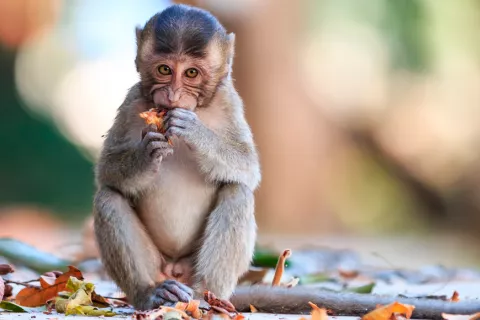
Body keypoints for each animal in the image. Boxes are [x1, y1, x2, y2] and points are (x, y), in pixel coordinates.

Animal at [92, 3, 260, 312]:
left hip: (193, 266)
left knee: (238, 192)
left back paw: (204, 296)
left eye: (191, 73)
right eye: (164, 69)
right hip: (157, 265)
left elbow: (248, 167)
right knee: (108, 197)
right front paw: (147, 155)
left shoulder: (229, 101)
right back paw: (151, 293)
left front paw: (194, 130)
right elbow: (107, 170)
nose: (172, 95)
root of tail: (174, 270)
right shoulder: (133, 101)